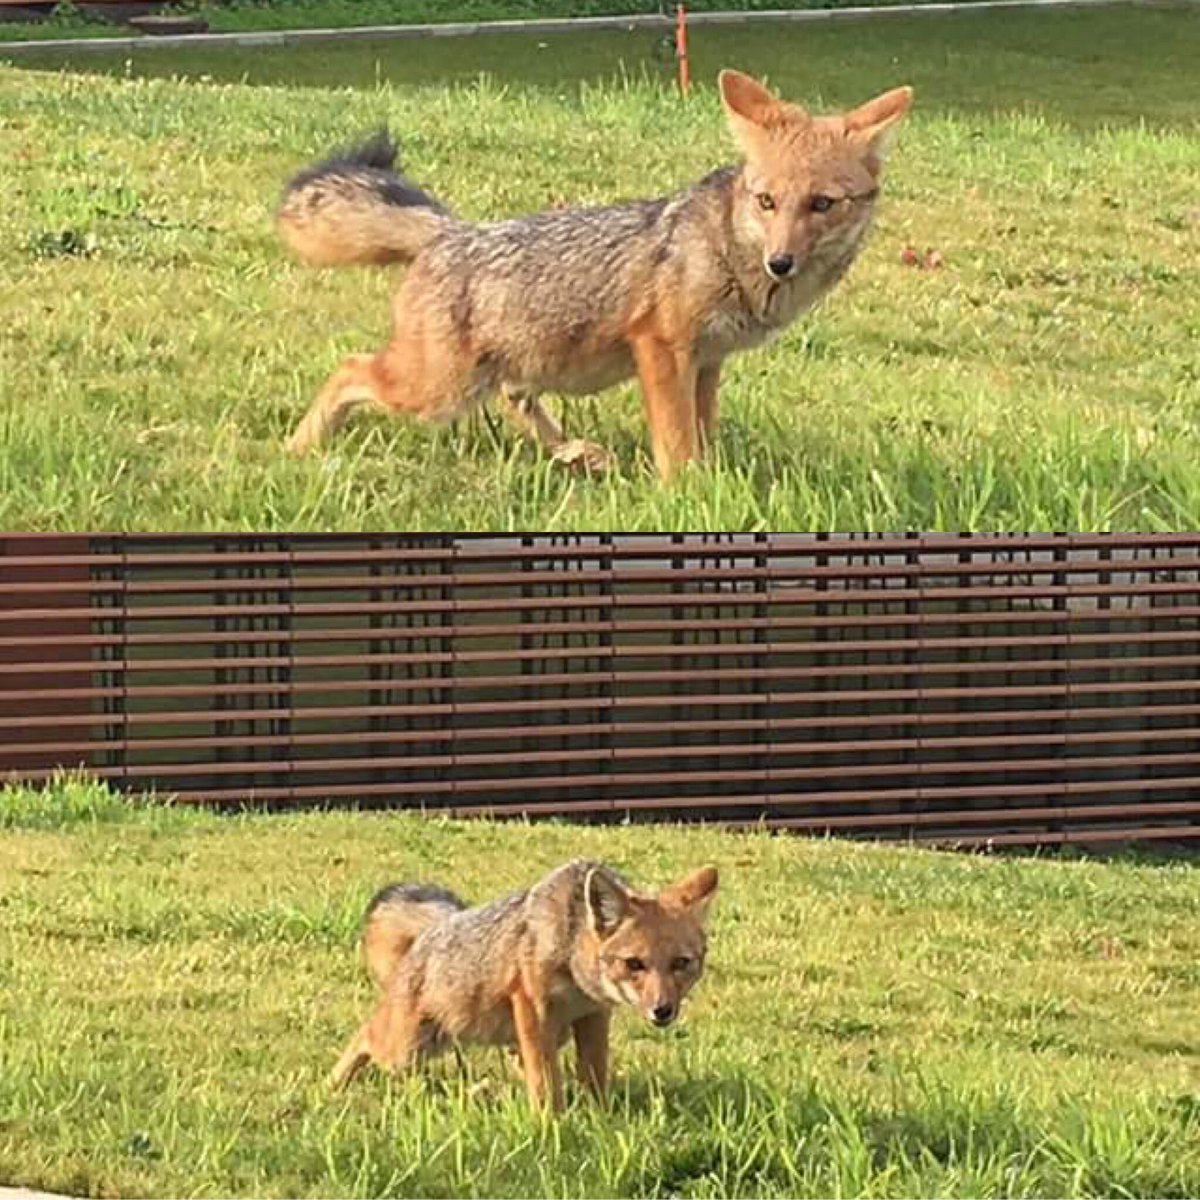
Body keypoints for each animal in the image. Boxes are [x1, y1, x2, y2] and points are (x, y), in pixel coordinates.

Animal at [276, 70, 913, 480]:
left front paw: (711, 486)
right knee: (348, 368)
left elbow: (703, 435)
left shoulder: (707, 362)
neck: (729, 253)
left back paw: (576, 454)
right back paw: (300, 447)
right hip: (436, 391)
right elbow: (677, 443)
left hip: (503, 374)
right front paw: (685, 496)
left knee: (517, 403)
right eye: (767, 202)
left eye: (822, 204)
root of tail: (451, 232)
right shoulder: (662, 349)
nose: (779, 261)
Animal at [331, 859, 719, 1112]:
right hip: (405, 1050)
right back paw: (330, 1088)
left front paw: (598, 1119)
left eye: (681, 964)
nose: (662, 1010)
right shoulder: (533, 1009)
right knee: (363, 1036)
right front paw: (552, 1128)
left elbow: (593, 1075)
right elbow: (546, 1084)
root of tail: (433, 930)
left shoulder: (593, 1016)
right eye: (634, 964)